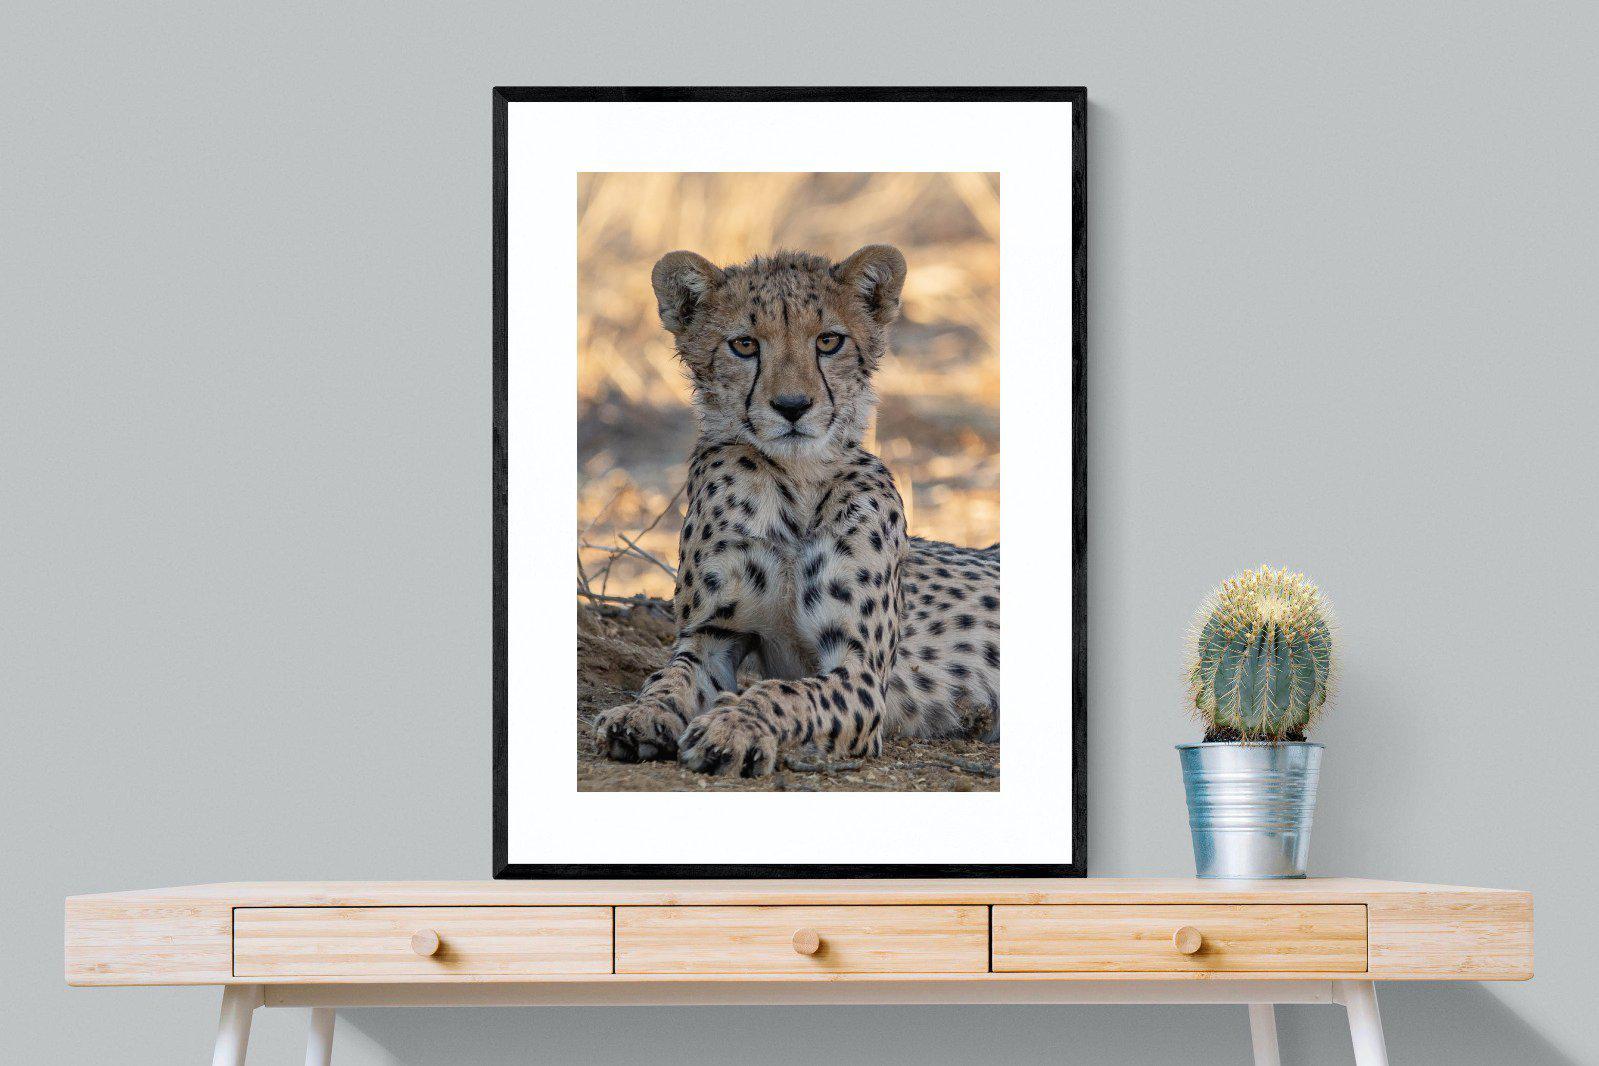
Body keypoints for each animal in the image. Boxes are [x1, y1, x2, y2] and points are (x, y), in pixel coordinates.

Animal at [592, 244, 1000, 778]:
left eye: (828, 340)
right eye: (745, 345)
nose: (791, 406)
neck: (796, 483)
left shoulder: (860, 671)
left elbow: (785, 692)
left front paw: (733, 727)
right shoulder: (712, 636)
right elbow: (669, 678)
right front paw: (639, 714)